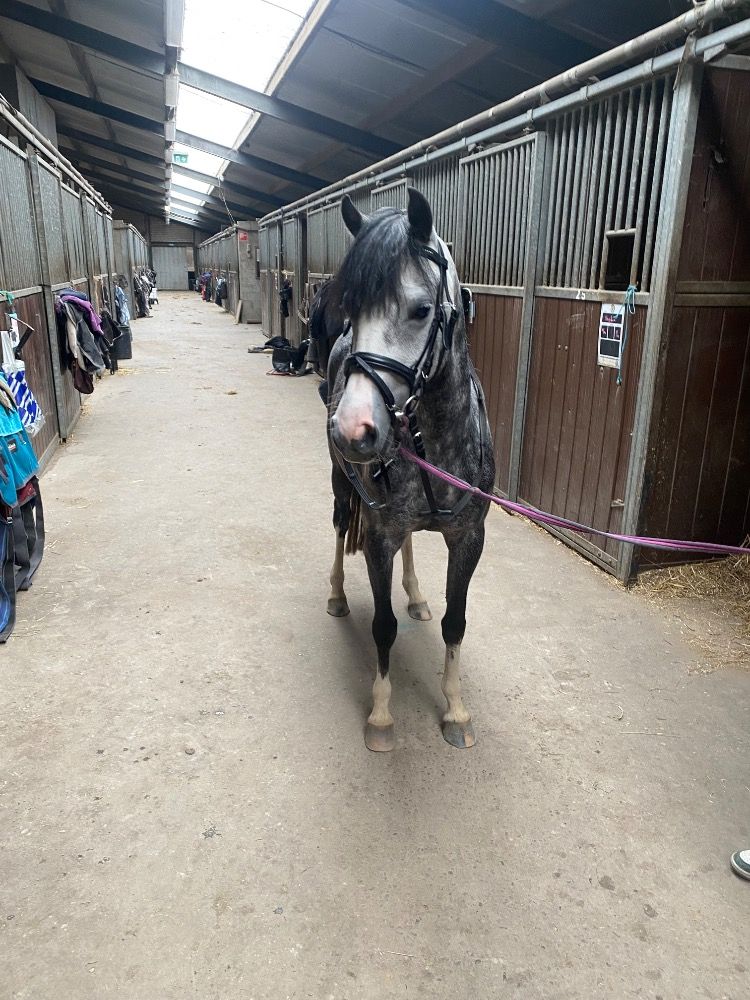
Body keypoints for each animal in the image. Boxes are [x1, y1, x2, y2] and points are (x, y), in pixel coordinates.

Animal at [325, 187, 495, 752]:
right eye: (350, 310)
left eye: (421, 310)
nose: (352, 430)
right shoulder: (379, 535)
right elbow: (383, 626)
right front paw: (381, 716)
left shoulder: (469, 537)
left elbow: (455, 622)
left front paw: (457, 711)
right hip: (340, 486)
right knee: (339, 527)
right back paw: (336, 595)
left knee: (414, 546)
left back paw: (417, 595)